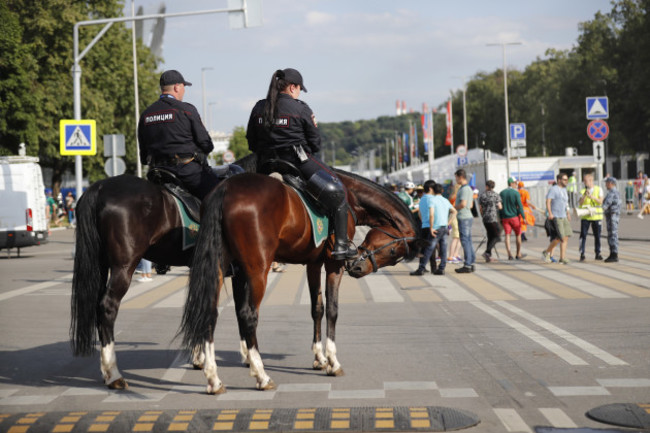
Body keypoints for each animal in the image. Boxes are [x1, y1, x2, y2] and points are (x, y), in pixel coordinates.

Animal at [180, 164, 420, 394]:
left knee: (210, 313)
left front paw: (319, 358)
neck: (351, 196)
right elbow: (332, 309)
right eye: (394, 253)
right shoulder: (333, 264)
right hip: (257, 269)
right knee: (248, 315)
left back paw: (213, 378)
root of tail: (225, 189)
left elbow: (317, 308)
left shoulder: (313, 263)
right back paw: (261, 375)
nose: (358, 268)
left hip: (220, 265)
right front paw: (332, 361)